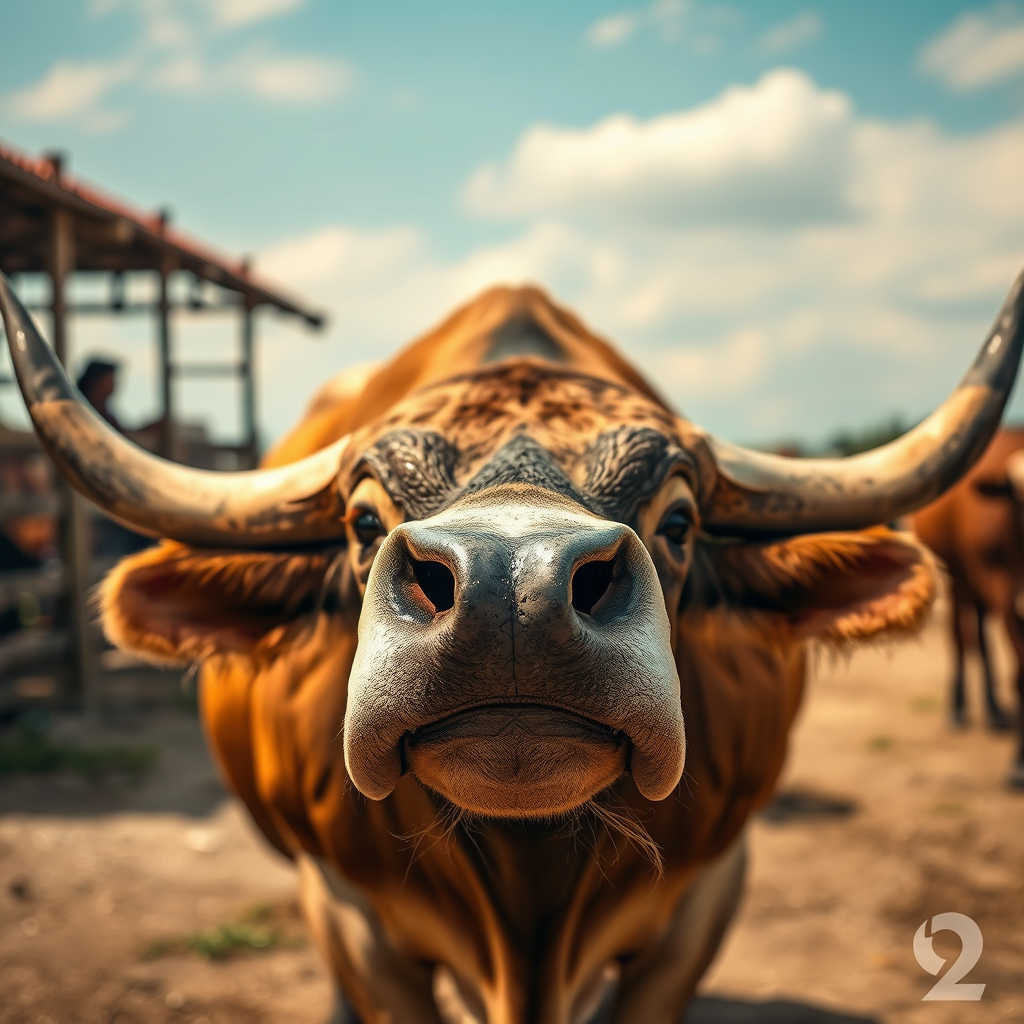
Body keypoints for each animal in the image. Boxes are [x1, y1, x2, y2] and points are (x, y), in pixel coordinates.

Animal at [912, 427, 1024, 787]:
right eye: (1018, 498)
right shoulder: (1004, 589)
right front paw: (1018, 766)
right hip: (957, 579)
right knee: (961, 637)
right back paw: (957, 709)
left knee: (980, 638)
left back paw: (994, 710)